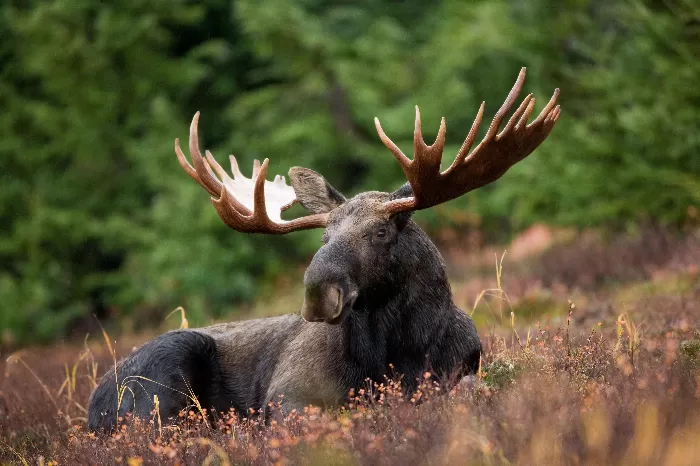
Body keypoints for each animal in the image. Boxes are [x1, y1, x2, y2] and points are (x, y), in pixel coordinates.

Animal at [87, 68, 560, 431]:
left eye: (380, 232)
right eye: (323, 238)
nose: (318, 293)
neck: (399, 353)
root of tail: (92, 406)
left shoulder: (463, 370)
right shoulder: (287, 395)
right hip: (162, 379)